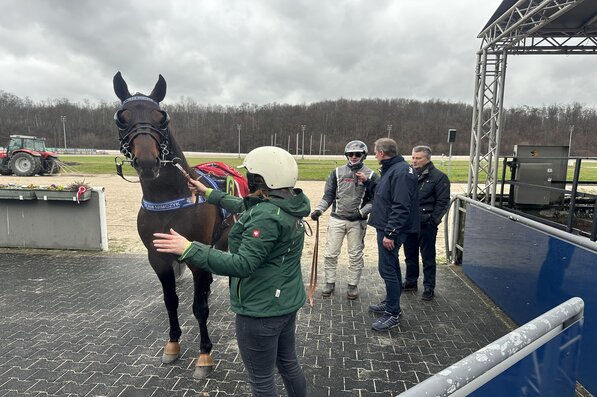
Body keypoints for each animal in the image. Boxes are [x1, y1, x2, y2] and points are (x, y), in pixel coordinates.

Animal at [112, 71, 228, 378]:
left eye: (162, 117)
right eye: (121, 118)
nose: (148, 162)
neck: (169, 201)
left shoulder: (196, 256)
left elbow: (199, 308)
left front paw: (204, 354)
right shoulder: (158, 258)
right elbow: (171, 301)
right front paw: (173, 344)